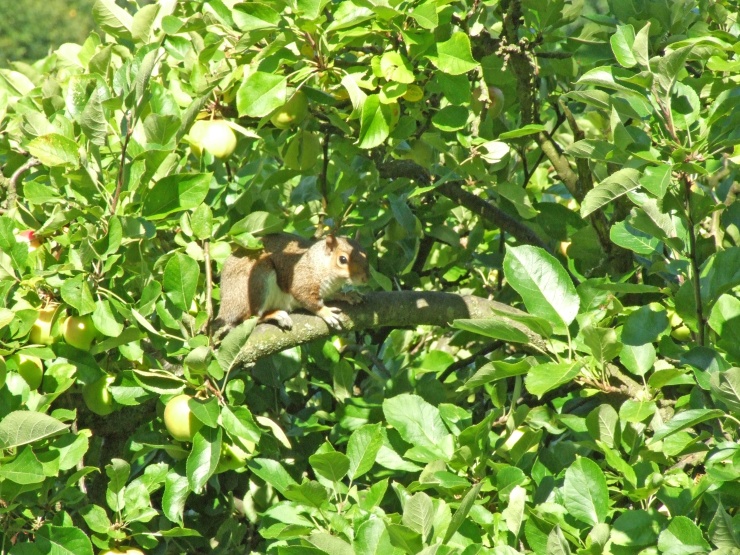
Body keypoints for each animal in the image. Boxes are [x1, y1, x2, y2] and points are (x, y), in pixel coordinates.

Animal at [214, 233, 369, 332]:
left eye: (366, 255)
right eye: (343, 259)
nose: (366, 278)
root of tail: (224, 310)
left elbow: (334, 294)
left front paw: (348, 295)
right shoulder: (302, 279)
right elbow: (308, 299)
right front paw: (326, 312)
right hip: (257, 280)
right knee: (250, 318)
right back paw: (276, 315)